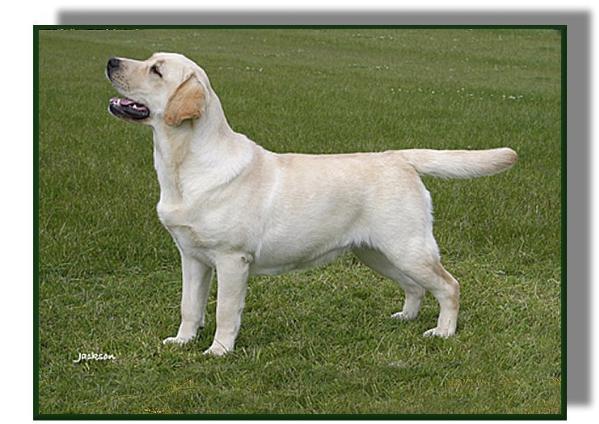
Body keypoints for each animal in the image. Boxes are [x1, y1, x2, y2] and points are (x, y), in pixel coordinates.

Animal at [106, 52, 517, 356]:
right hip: (377, 252)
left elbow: (224, 311)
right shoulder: (192, 257)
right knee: (415, 286)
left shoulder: (231, 259)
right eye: (150, 60)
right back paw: (405, 317)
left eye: (156, 70)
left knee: (449, 286)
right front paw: (182, 341)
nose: (110, 60)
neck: (183, 165)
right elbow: (189, 306)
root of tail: (399, 156)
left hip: (407, 247)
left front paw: (218, 351)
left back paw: (442, 332)